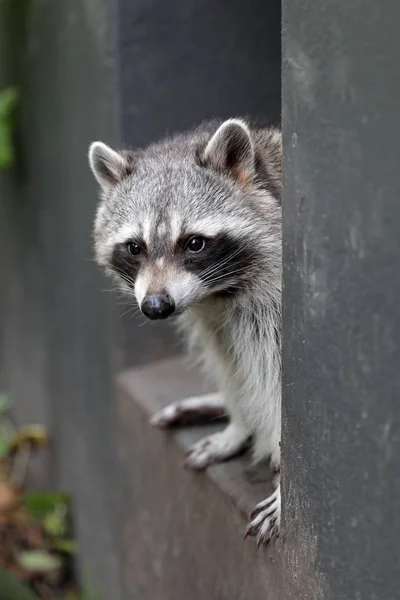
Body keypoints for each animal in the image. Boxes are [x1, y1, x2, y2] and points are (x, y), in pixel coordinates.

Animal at [88, 119, 282, 548]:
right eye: (135, 247)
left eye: (194, 243)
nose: (156, 307)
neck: (223, 291)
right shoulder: (215, 317)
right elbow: (231, 363)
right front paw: (239, 423)